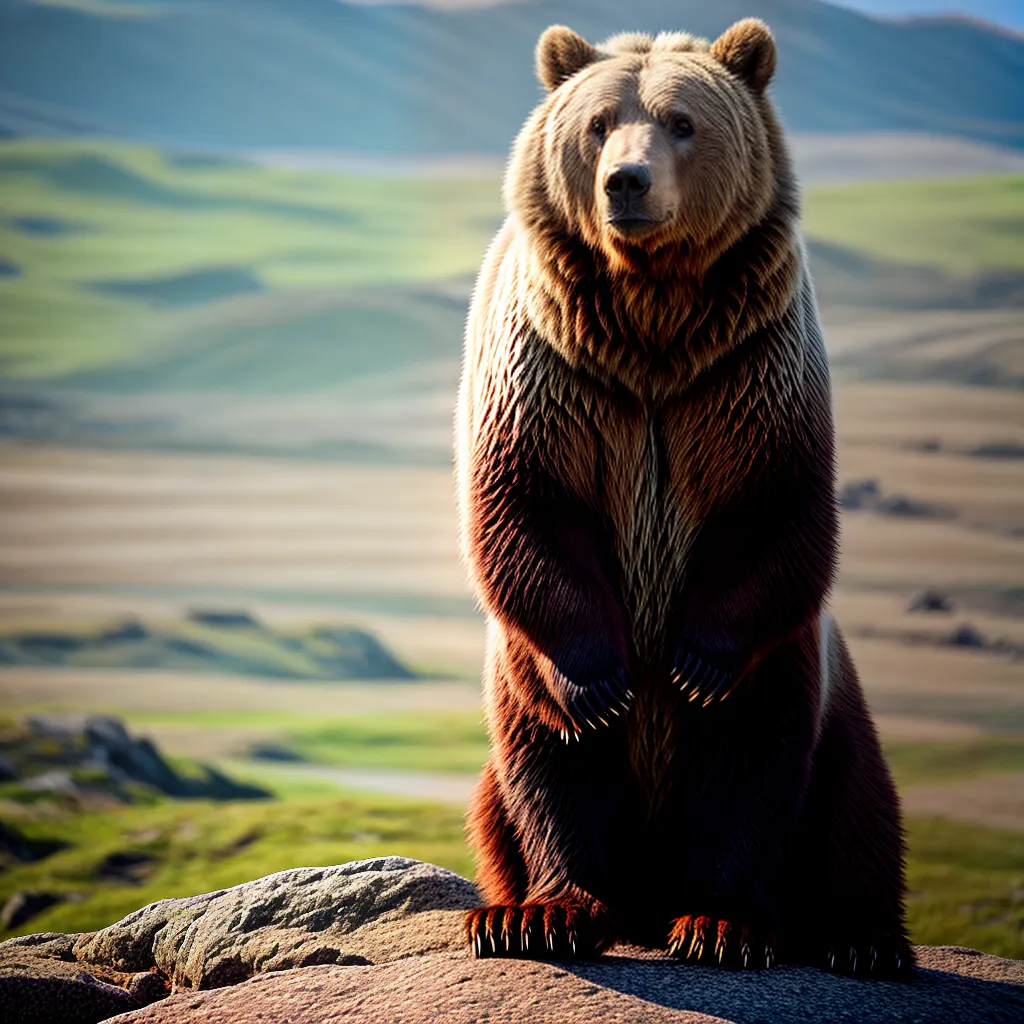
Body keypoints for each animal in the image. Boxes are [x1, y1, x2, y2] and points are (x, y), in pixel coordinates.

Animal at [456, 18, 912, 977]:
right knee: (541, 768)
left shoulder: (750, 376)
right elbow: (523, 506)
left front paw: (697, 662)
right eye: (598, 124)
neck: (651, 324)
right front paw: (603, 682)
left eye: (681, 122)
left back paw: (771, 927)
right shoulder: (553, 375)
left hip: (806, 685)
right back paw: (541, 911)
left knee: (795, 782)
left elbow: (777, 512)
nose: (625, 182)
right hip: (516, 680)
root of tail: (649, 888)